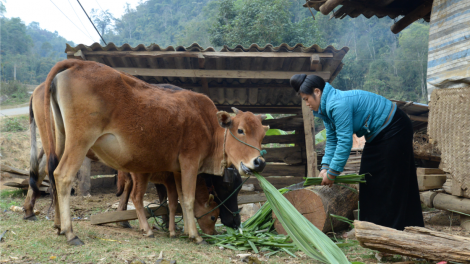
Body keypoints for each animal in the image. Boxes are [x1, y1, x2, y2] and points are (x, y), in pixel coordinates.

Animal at [39, 59, 268, 245]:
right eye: (240, 130)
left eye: (262, 135)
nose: (259, 162)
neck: (209, 127)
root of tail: (77, 63)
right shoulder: (190, 162)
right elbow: (188, 198)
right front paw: (195, 236)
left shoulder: (176, 171)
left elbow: (178, 199)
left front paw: (184, 231)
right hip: (80, 141)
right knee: (63, 176)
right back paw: (70, 233)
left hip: (61, 139)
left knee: (52, 174)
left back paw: (58, 226)